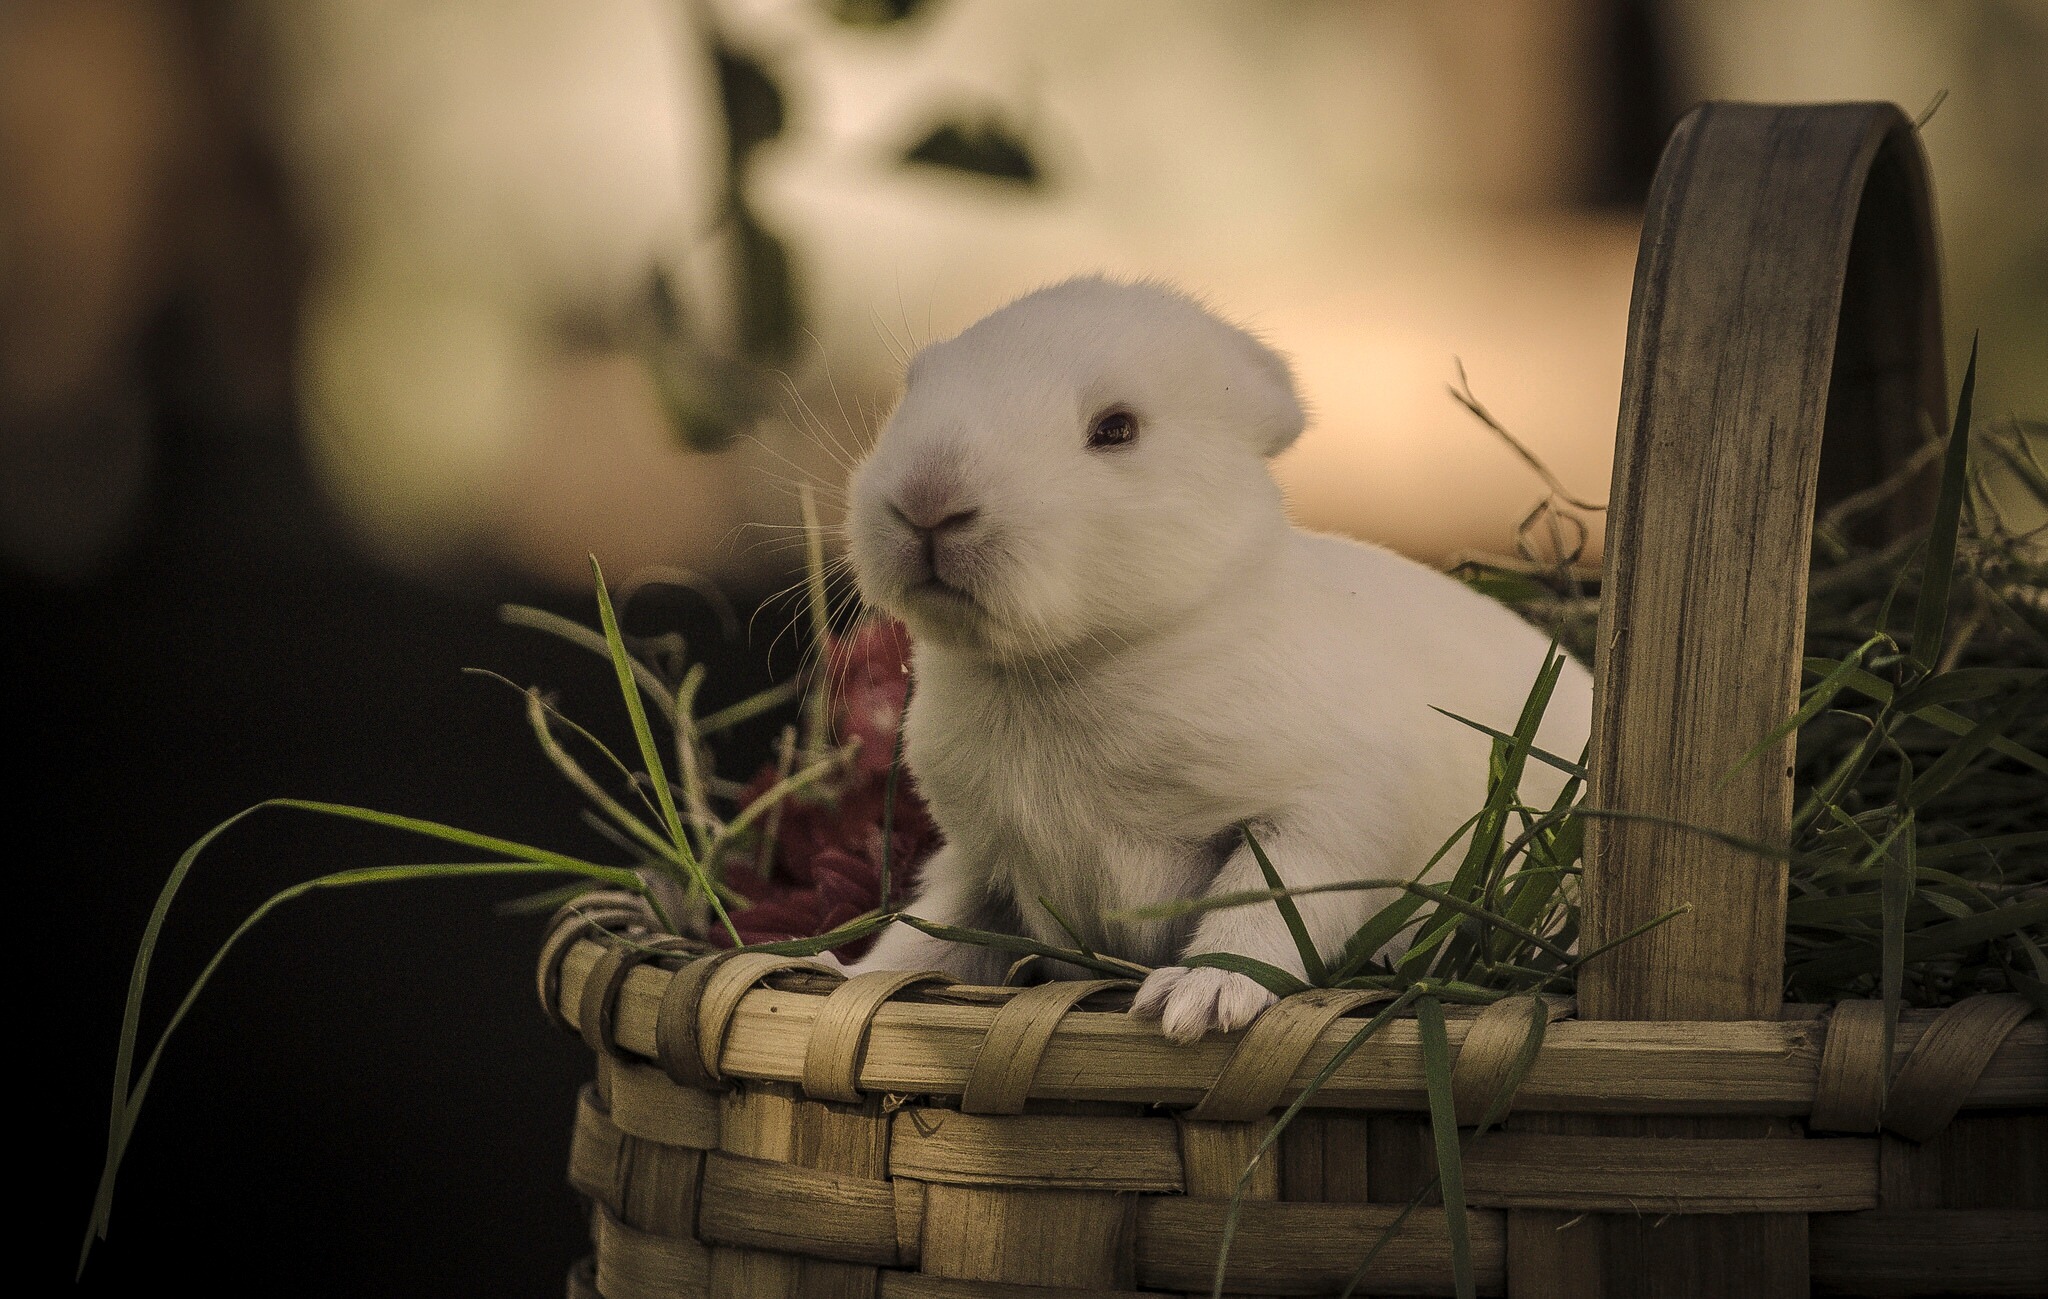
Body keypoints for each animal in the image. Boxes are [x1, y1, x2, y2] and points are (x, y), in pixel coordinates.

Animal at [831, 276, 1581, 1040]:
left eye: (1116, 429)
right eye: (915, 385)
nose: (927, 499)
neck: (1069, 667)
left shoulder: (1321, 816)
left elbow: (1263, 906)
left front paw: (1200, 999)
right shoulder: (979, 862)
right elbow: (930, 931)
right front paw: (846, 975)